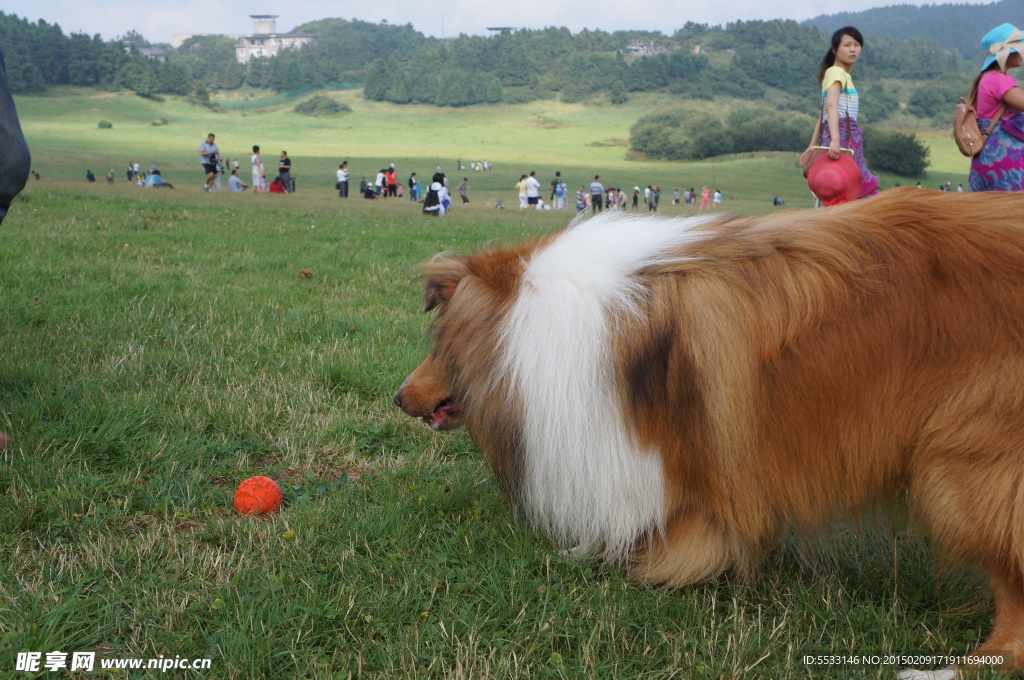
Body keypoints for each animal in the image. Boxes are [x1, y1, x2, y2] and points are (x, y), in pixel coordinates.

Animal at [395, 186, 1024, 675]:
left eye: (439, 347)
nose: (398, 397)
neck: (526, 321)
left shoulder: (658, 456)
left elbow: (678, 529)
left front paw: (651, 565)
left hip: (966, 466)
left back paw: (958, 667)